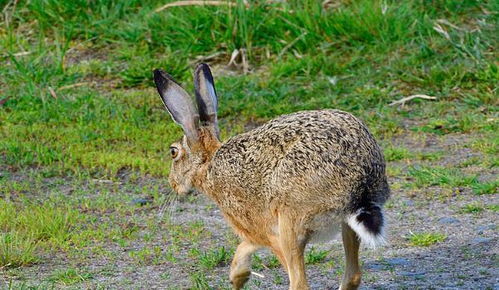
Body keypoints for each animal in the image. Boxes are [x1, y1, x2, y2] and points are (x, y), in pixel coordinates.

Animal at [152, 64, 390, 290]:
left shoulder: (261, 229)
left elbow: (249, 244)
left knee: (300, 283)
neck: (209, 164)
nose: (173, 184)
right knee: (353, 276)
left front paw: (237, 277)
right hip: (345, 224)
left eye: (173, 152)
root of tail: (362, 182)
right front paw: (237, 278)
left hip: (290, 221)